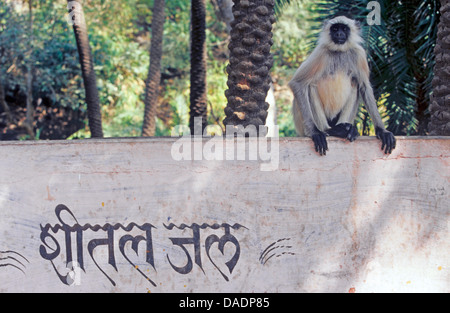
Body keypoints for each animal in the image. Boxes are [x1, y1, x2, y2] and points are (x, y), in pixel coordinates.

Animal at [290, 15, 396, 155]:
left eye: (344, 29)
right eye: (335, 28)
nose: (339, 34)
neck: (339, 52)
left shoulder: (359, 54)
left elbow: (364, 87)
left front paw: (382, 131)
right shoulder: (320, 52)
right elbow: (297, 83)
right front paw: (314, 132)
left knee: (356, 84)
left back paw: (346, 129)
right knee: (310, 86)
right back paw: (329, 130)